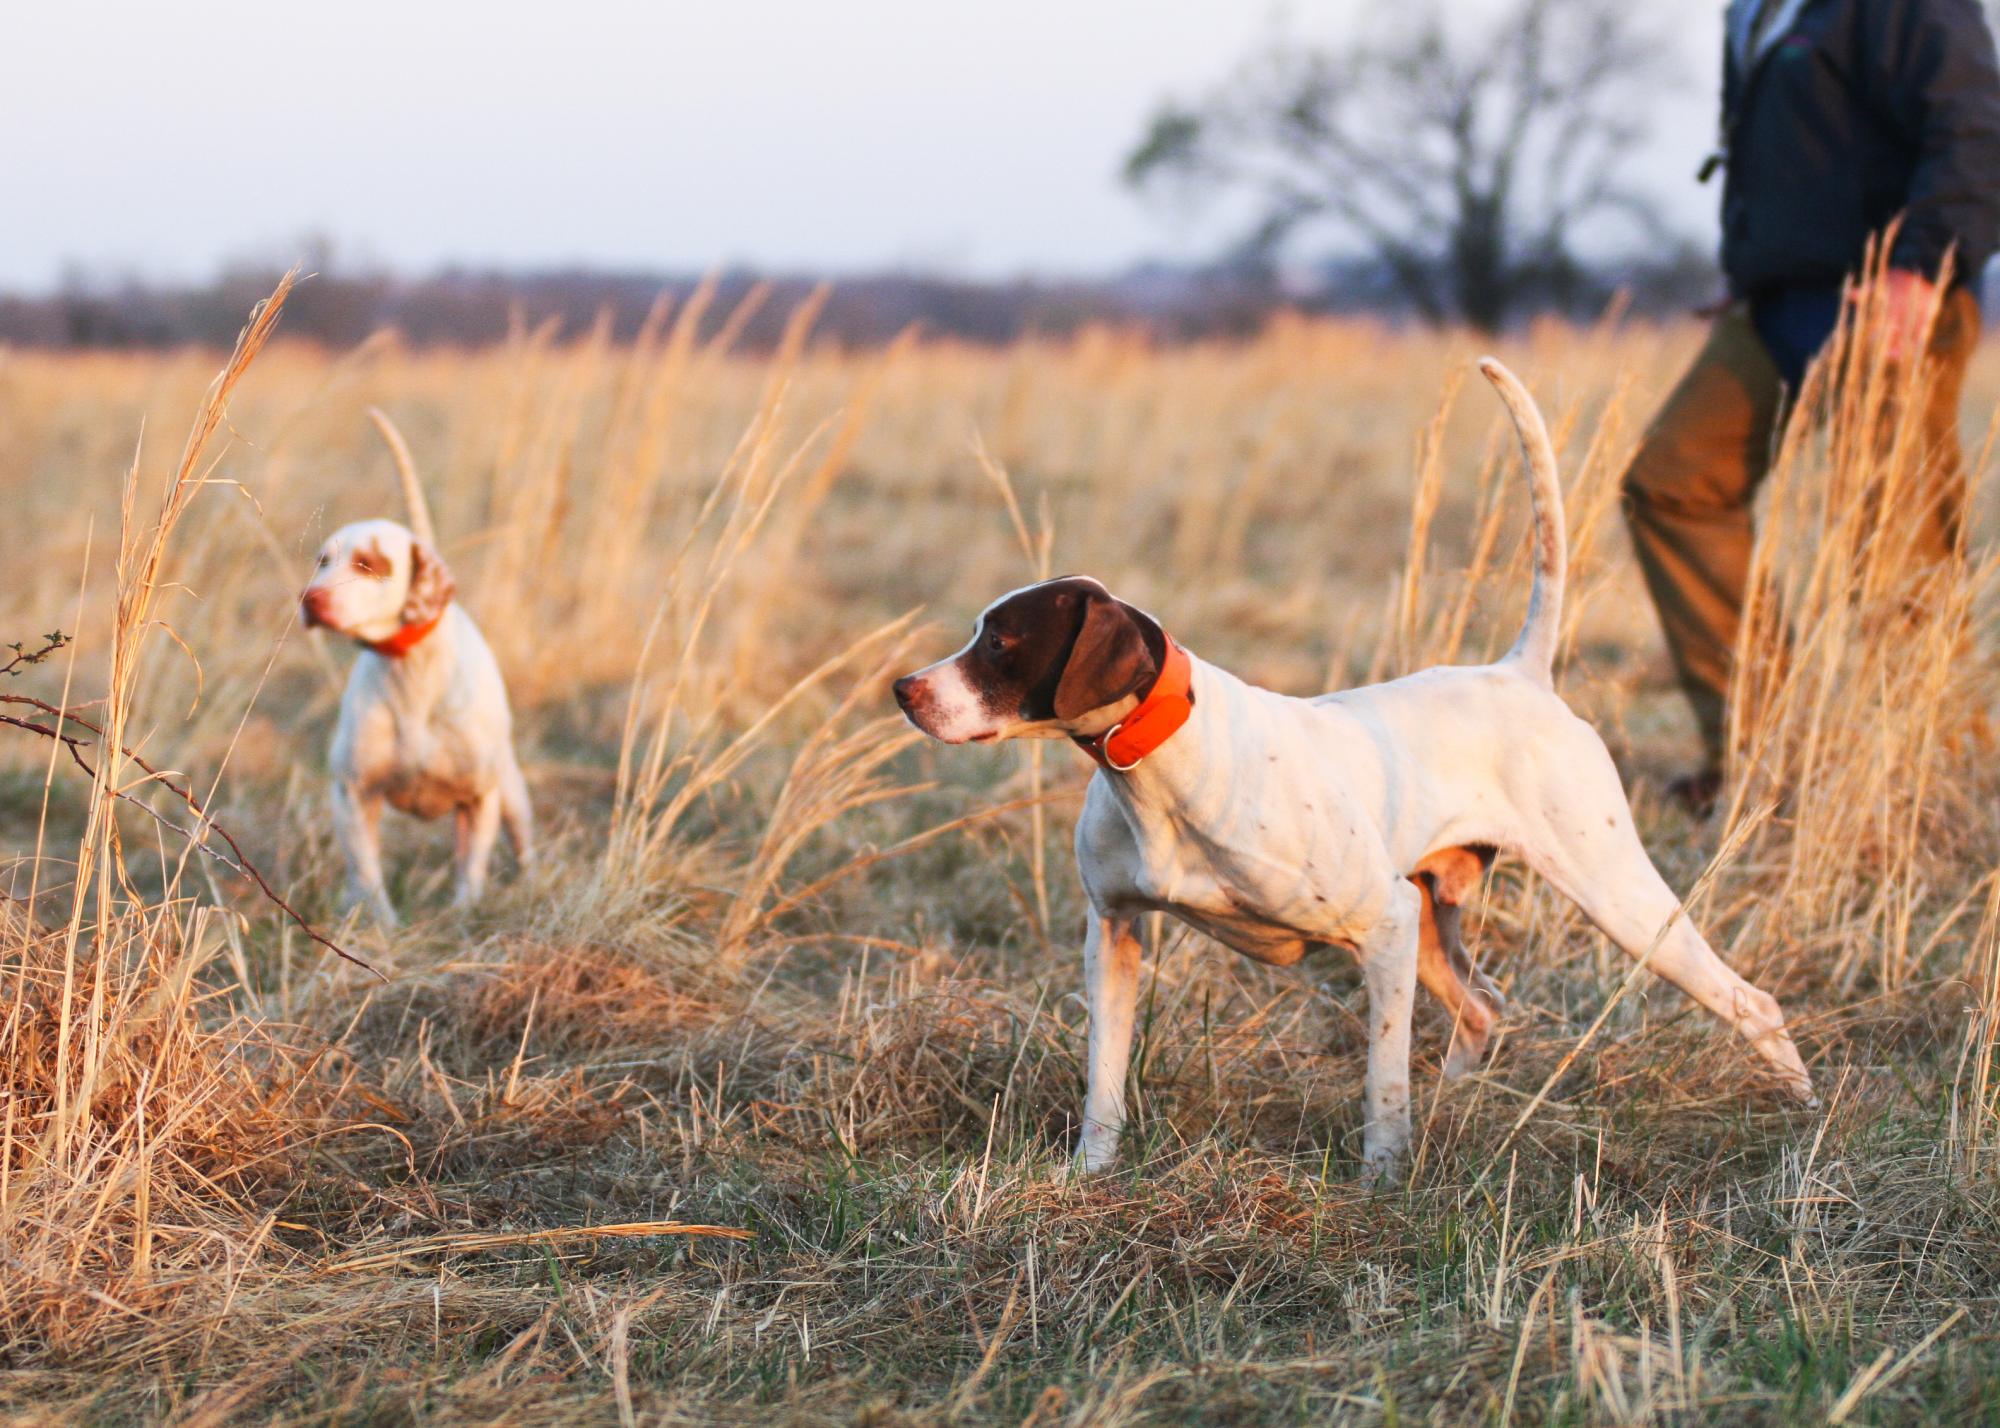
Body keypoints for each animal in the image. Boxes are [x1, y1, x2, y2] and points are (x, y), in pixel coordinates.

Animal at [298, 412, 532, 924]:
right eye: (322, 560)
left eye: (369, 563)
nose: (310, 599)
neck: (412, 676)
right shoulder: (352, 796)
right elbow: (367, 875)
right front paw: (380, 926)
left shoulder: (479, 799)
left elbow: (471, 868)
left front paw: (465, 915)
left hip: (512, 794)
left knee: (525, 848)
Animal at [900, 358, 1824, 1176]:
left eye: (1002, 642)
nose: (905, 689)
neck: (1159, 768)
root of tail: (1520, 672)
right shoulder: (1115, 933)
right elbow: (1104, 1078)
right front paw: (1090, 1174)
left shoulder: (1380, 922)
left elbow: (1381, 1078)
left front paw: (1380, 1177)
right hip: (1439, 917)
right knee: (1484, 1010)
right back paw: (1456, 1108)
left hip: (1615, 898)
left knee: (1749, 1000)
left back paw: (1804, 1117)